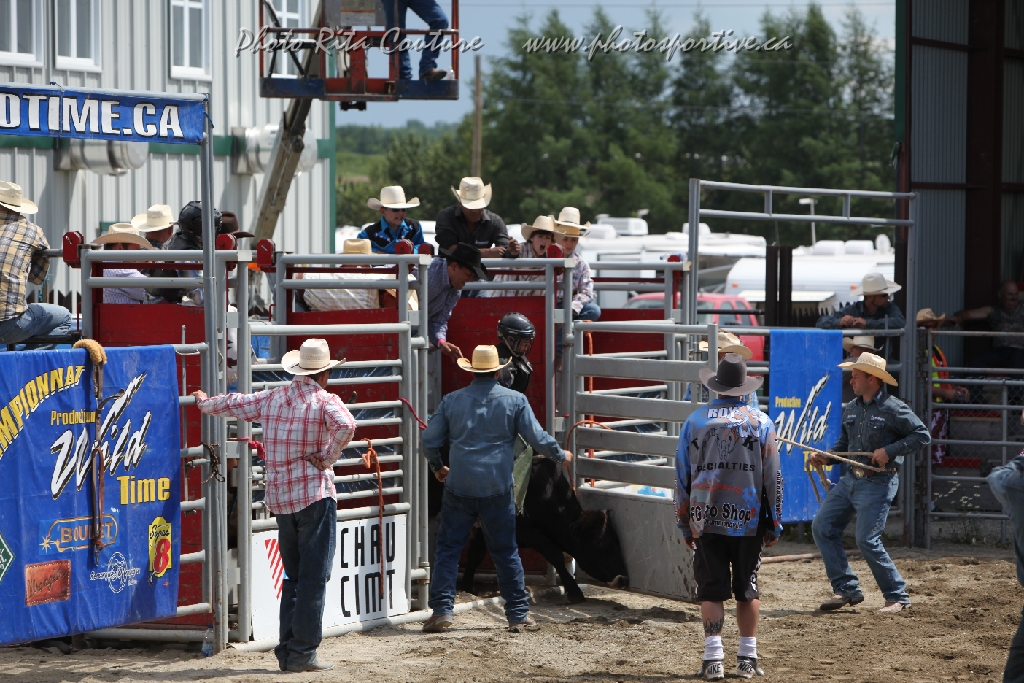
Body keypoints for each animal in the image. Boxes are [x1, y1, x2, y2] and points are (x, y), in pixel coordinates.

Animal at [429, 456, 629, 604]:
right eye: (602, 545)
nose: (624, 579)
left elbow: (475, 554)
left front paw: (468, 587)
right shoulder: (526, 531)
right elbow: (554, 554)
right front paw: (574, 591)